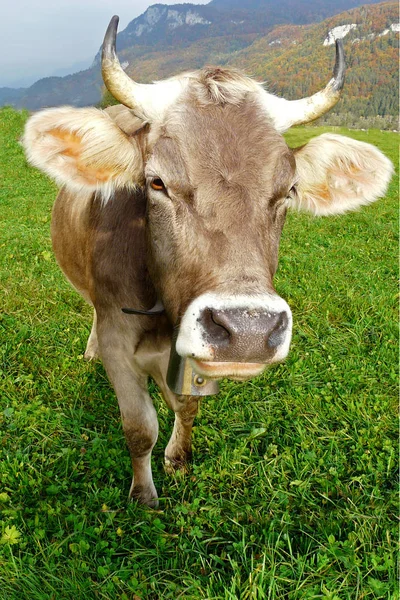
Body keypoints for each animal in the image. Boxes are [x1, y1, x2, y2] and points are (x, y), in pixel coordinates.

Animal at [21, 15, 390, 506]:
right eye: (156, 182)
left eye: (289, 190)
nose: (249, 331)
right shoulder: (119, 340)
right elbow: (139, 428)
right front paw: (144, 497)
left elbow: (187, 406)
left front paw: (178, 458)